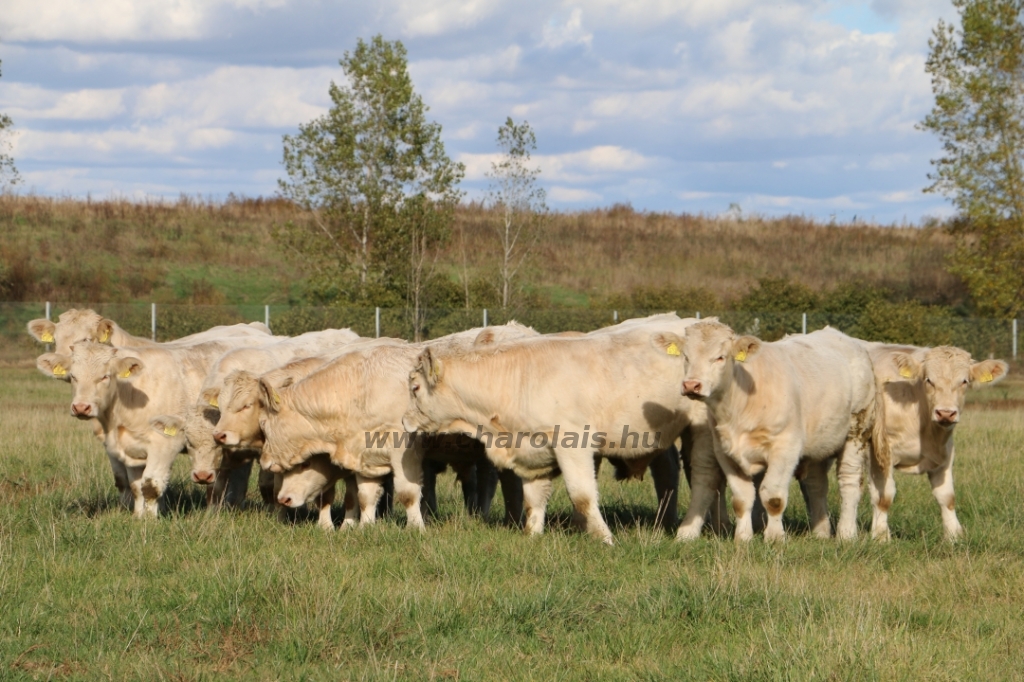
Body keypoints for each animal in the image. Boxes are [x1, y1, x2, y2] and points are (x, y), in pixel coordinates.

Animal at [403, 319, 708, 540]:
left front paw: (604, 538)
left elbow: (582, 496)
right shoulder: (533, 449)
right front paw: (532, 535)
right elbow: (533, 499)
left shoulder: (573, 445)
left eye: (415, 387)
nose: (404, 421)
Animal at [675, 321, 876, 540]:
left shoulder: (785, 447)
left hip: (856, 432)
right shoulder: (724, 452)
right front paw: (743, 538)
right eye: (686, 356)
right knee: (817, 485)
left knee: (849, 482)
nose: (691, 385)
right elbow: (742, 498)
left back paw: (846, 533)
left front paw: (775, 537)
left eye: (720, 357)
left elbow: (773, 497)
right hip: (818, 444)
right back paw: (820, 532)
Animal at [864, 342, 1007, 540]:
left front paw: (954, 536)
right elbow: (883, 496)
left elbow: (947, 497)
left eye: (964, 381)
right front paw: (880, 537)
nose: (945, 413)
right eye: (928, 380)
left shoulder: (945, 453)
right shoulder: (879, 452)